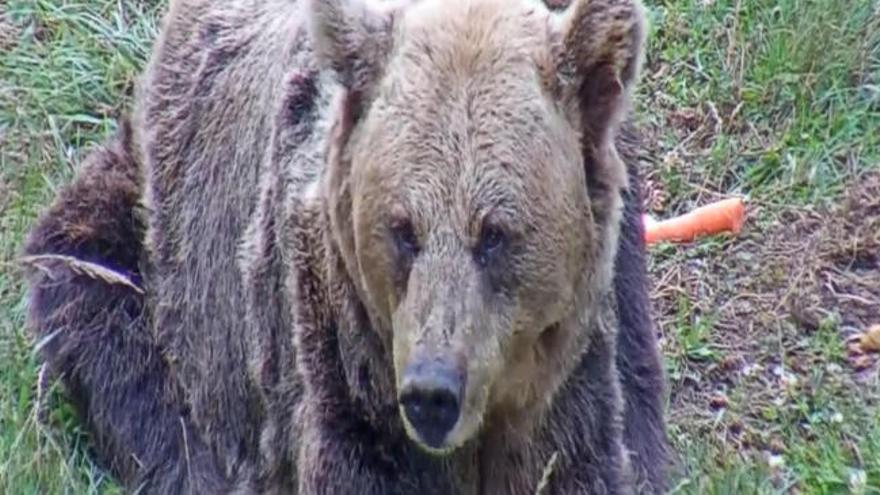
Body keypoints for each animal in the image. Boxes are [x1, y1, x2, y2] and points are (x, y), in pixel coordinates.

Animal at [23, 0, 670, 493]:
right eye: (403, 228)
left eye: (494, 233)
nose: (433, 394)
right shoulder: (340, 375)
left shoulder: (570, 385)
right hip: (157, 239)